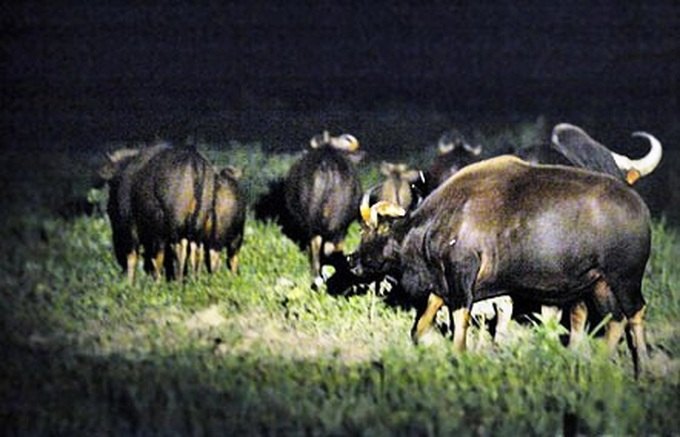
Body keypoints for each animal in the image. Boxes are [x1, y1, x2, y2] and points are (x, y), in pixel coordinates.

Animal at [351, 155, 651, 377]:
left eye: (368, 231)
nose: (351, 261)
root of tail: (639, 209)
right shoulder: (443, 281)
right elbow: (423, 321)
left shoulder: (462, 275)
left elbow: (459, 324)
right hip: (600, 284)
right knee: (615, 319)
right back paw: (601, 364)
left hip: (624, 280)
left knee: (635, 312)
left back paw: (643, 368)